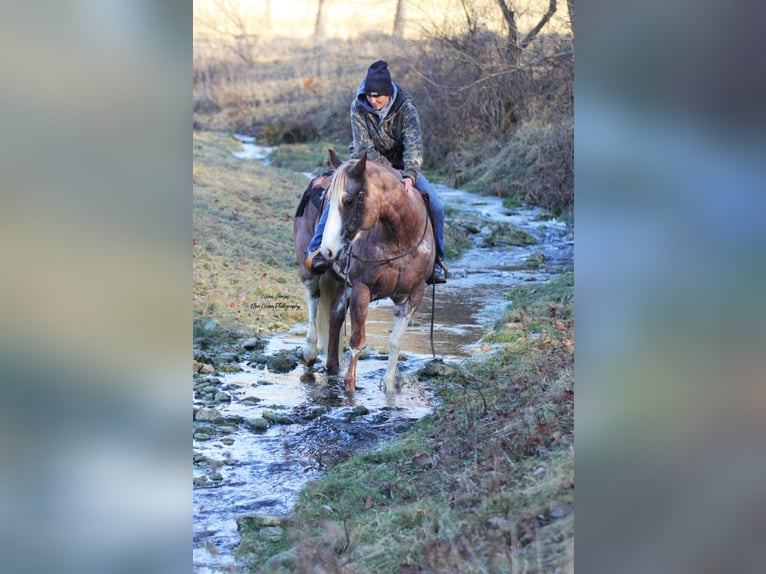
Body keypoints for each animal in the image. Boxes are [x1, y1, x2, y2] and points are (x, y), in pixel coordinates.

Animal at [294, 147, 438, 396]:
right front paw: (350, 388)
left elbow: (395, 341)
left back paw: (332, 366)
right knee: (313, 299)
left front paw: (389, 386)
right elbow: (357, 340)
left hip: (344, 287)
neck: (398, 239)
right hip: (310, 270)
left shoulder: (413, 296)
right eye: (327, 201)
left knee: (335, 316)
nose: (328, 250)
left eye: (349, 201)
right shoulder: (362, 290)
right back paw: (309, 352)